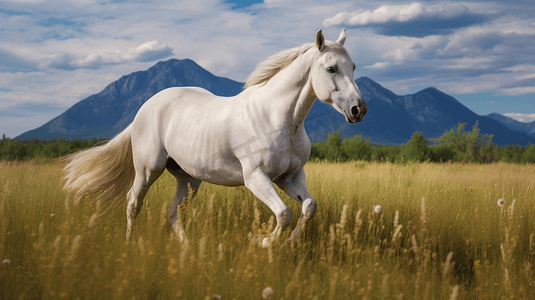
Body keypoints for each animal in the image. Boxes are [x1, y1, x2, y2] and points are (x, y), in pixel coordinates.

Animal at [60, 28, 366, 245]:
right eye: (331, 68)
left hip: (188, 179)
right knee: (133, 202)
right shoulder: (255, 177)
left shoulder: (289, 177)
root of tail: (144, 108)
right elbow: (284, 213)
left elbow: (308, 207)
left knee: (173, 212)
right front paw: (262, 242)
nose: (358, 109)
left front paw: (288, 243)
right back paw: (128, 244)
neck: (278, 119)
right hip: (148, 169)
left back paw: (187, 249)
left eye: (353, 67)